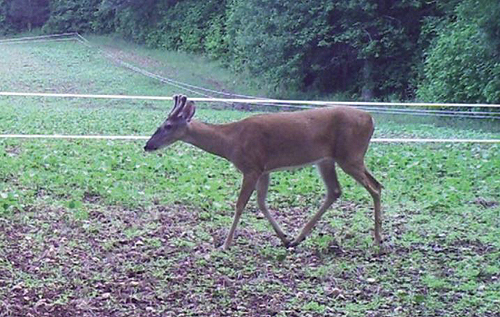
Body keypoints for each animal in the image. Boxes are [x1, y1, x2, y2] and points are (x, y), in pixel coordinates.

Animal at [145, 94, 382, 249]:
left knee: (374, 188)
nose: (147, 145)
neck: (230, 141)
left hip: (349, 156)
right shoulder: (264, 169)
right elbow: (261, 203)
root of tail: (371, 119)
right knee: (340, 190)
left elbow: (240, 205)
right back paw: (298, 238)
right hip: (330, 160)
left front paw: (226, 244)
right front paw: (284, 237)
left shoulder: (251, 167)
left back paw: (378, 238)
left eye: (167, 126)